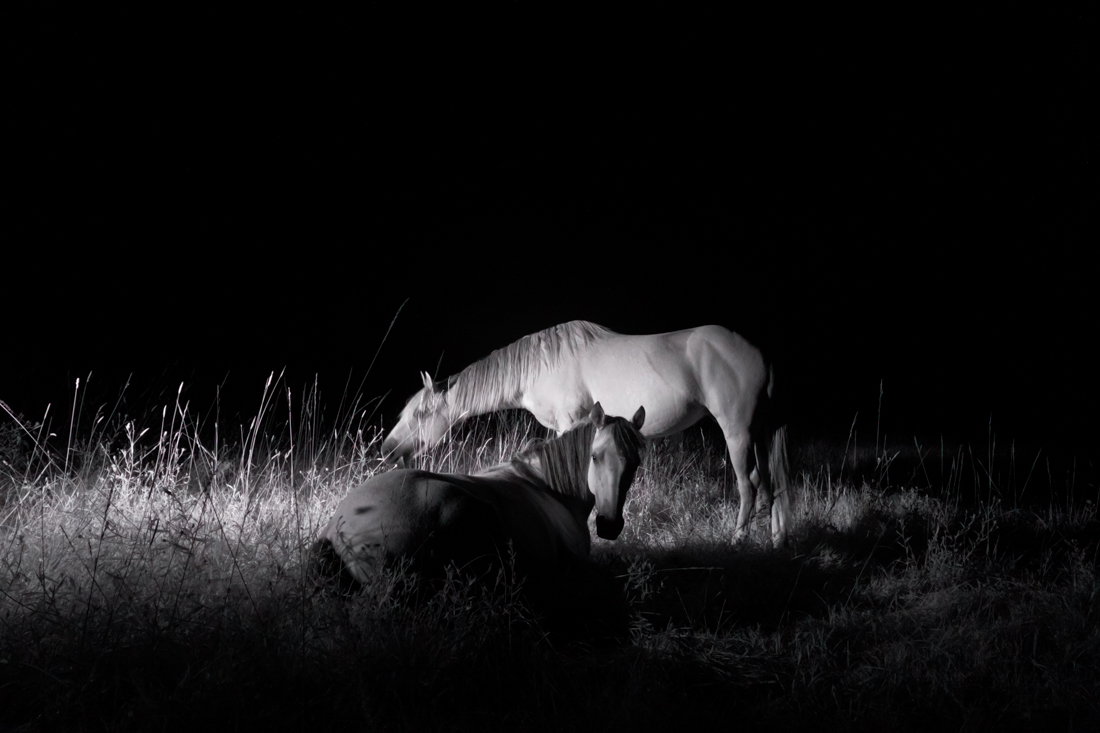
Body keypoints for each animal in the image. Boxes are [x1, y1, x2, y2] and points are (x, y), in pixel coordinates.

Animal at [381, 321, 790, 545]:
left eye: (421, 413)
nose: (387, 449)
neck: (541, 365)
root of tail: (762, 354)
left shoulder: (571, 422)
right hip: (760, 433)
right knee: (772, 485)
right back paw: (777, 541)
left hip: (738, 433)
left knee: (750, 485)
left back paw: (738, 541)